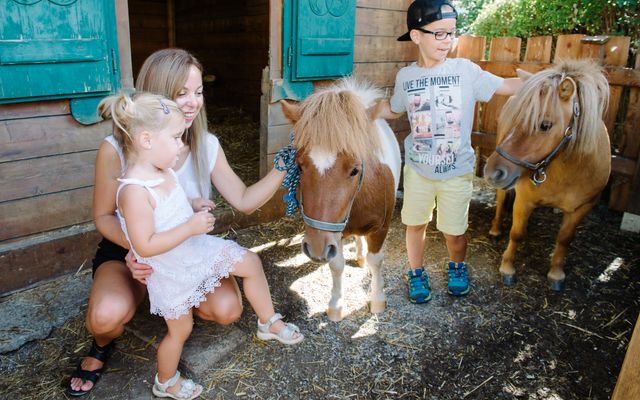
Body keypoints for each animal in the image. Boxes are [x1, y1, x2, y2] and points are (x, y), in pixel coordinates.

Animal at [282, 78, 400, 322]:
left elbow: (377, 261)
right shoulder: (334, 235)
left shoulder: (382, 227)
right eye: (299, 166)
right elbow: (336, 264)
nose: (316, 248)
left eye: (355, 169)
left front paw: (377, 299)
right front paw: (336, 305)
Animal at [484, 60, 608, 290]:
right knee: (501, 199)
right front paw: (507, 267)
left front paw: (556, 272)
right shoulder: (524, 200)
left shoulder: (582, 208)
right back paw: (495, 229)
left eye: (545, 125)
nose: (492, 171)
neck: (568, 172)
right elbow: (517, 233)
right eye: (515, 119)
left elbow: (564, 239)